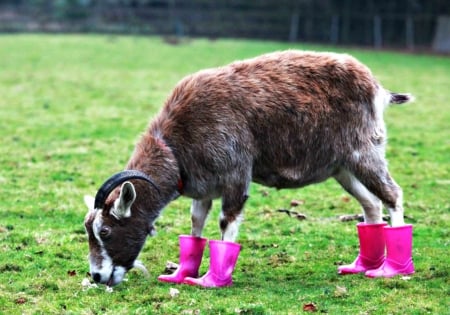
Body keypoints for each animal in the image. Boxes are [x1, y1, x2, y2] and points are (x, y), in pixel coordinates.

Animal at [82, 48, 414, 286]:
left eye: (106, 231)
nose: (97, 276)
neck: (175, 145)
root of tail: (377, 88)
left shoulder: (235, 173)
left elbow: (225, 222)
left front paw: (212, 280)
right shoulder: (204, 186)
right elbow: (196, 224)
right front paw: (181, 274)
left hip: (365, 151)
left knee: (393, 195)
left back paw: (392, 270)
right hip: (342, 167)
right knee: (371, 204)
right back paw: (362, 266)